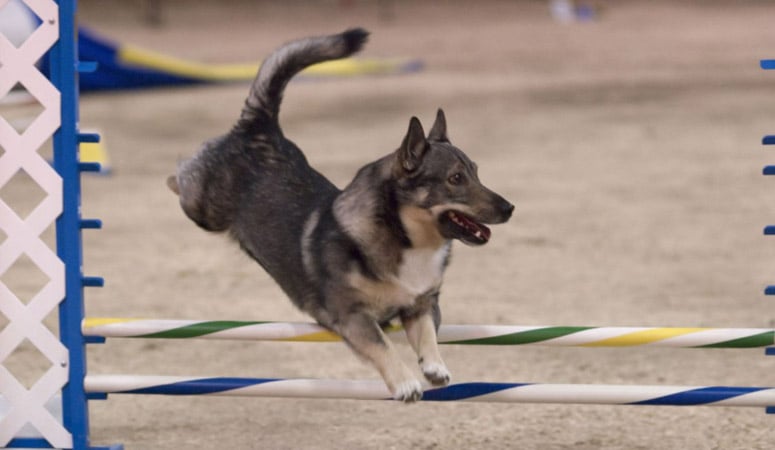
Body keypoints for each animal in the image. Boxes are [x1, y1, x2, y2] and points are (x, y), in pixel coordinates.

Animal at [167, 28, 516, 400]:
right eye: (455, 179)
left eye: (476, 172)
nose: (509, 208)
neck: (406, 238)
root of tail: (259, 127)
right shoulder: (351, 315)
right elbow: (382, 346)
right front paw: (405, 382)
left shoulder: (420, 304)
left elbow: (427, 335)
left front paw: (435, 368)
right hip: (203, 209)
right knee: (182, 173)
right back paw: (173, 174)